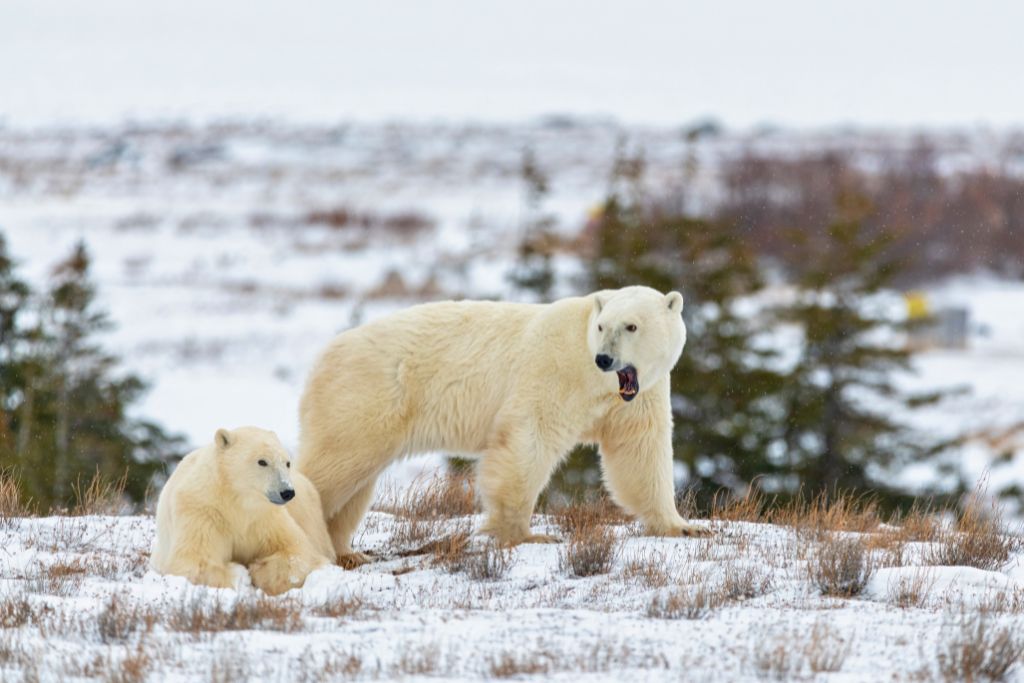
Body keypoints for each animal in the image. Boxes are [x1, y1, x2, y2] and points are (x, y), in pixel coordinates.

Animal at [151, 426, 335, 595]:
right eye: (262, 461)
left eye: (287, 463)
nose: (287, 492)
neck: (237, 500)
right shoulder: (202, 512)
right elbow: (194, 561)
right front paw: (239, 574)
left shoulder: (264, 518)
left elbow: (298, 551)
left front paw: (258, 569)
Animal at [297, 286, 709, 567]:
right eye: (602, 326)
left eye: (631, 326)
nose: (605, 358)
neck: (591, 375)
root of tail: (322, 358)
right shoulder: (552, 371)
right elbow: (529, 439)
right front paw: (526, 535)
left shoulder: (639, 397)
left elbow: (639, 452)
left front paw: (684, 526)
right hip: (369, 396)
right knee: (333, 467)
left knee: (354, 488)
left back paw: (347, 552)